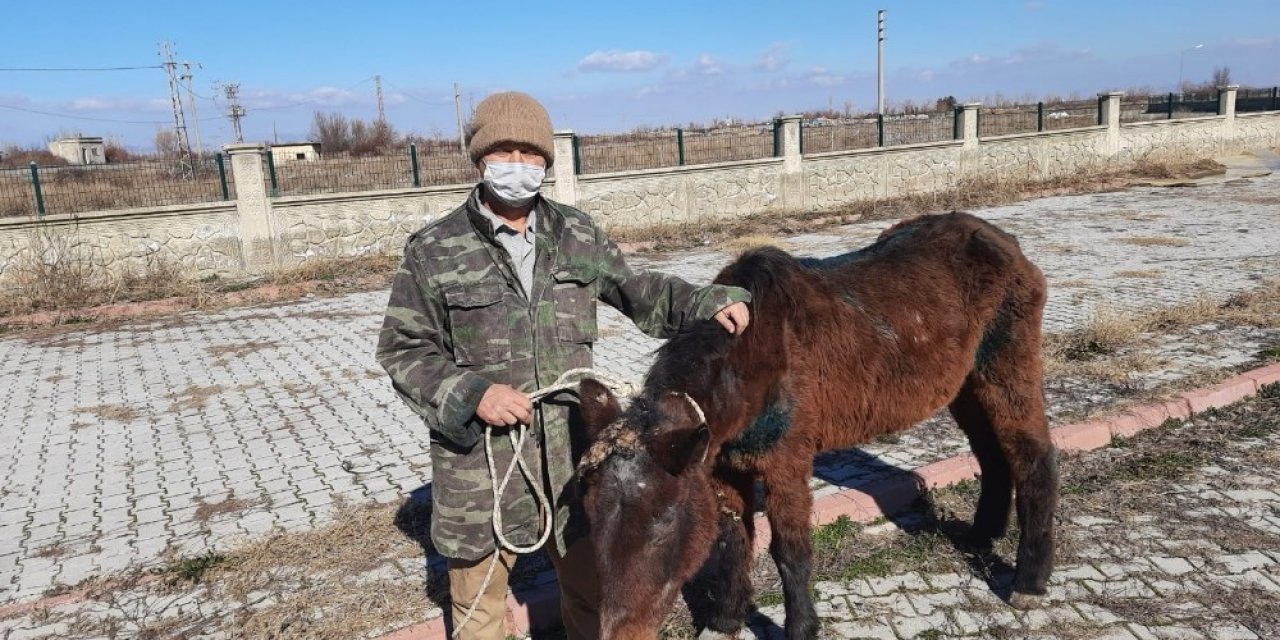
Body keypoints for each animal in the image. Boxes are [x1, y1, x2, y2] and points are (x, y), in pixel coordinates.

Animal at [576, 212, 1054, 637]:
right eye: (591, 521)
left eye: (661, 530)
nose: (617, 633)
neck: (753, 360)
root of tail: (1004, 241)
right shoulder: (723, 468)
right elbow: (733, 543)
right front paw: (726, 622)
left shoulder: (786, 463)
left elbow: (790, 551)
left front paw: (802, 628)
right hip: (965, 386)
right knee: (992, 455)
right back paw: (980, 537)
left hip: (1006, 369)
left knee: (1032, 455)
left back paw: (1029, 581)